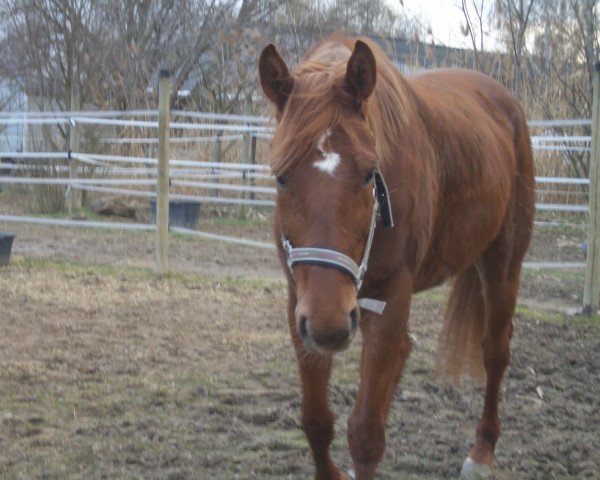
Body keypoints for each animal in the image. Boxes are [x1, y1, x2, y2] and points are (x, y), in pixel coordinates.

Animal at [258, 37, 536, 480]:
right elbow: (316, 420)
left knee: (495, 352)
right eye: (282, 176)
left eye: (369, 174)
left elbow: (366, 434)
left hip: (502, 264)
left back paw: (481, 453)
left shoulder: (388, 301)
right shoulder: (299, 308)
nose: (329, 322)